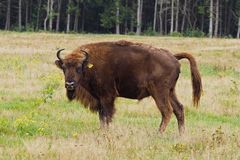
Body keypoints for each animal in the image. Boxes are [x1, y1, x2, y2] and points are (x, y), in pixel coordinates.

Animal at [54, 40, 202, 134]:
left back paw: (158, 133)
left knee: (167, 111)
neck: (90, 64)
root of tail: (173, 56)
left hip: (159, 92)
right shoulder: (99, 98)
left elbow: (107, 115)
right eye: (64, 68)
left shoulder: (107, 96)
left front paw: (106, 132)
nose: (70, 84)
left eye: (79, 68)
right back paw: (181, 134)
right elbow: (102, 117)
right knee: (179, 109)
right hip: (171, 92)